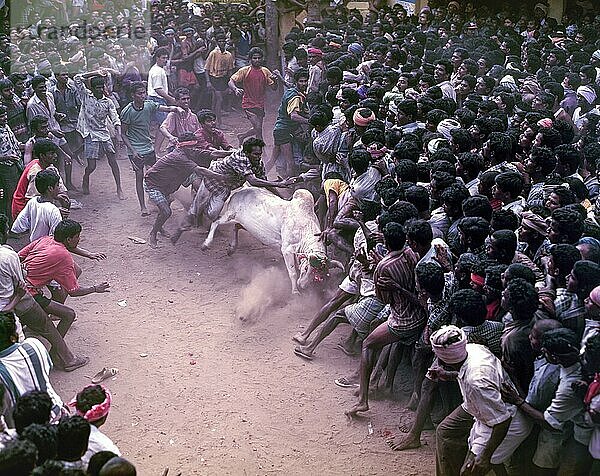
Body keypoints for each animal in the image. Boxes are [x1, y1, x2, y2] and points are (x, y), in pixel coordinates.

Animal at [202, 187, 342, 294]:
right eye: (307, 268)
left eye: (321, 276)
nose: (303, 285)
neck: (305, 229)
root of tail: (240, 191)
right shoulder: (286, 250)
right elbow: (292, 272)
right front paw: (295, 291)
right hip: (230, 215)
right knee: (216, 222)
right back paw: (206, 244)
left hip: (242, 223)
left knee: (236, 227)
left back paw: (232, 248)